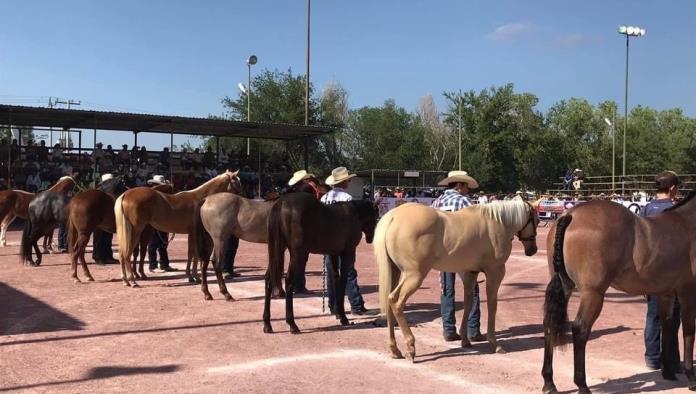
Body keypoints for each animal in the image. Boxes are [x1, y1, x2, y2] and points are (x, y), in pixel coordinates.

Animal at [262, 192, 380, 334]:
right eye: (376, 215)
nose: (371, 238)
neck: (354, 213)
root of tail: (281, 202)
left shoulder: (333, 253)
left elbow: (335, 279)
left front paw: (338, 313)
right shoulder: (348, 253)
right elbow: (343, 280)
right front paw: (343, 317)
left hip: (277, 250)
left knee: (269, 279)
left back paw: (267, 324)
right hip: (298, 253)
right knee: (289, 281)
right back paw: (292, 324)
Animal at [372, 202, 540, 362]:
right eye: (537, 221)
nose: (533, 250)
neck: (497, 222)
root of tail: (393, 216)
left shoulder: (470, 273)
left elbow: (468, 303)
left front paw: (465, 339)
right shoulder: (495, 273)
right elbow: (492, 305)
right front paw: (495, 343)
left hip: (395, 272)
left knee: (388, 301)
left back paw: (394, 349)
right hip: (414, 275)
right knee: (396, 302)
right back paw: (410, 346)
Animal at [544, 190, 696, 390]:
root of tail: (571, 214)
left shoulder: (667, 293)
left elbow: (668, 327)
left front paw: (669, 373)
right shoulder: (688, 292)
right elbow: (688, 332)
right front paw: (691, 378)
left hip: (564, 286)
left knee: (550, 324)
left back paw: (549, 383)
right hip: (593, 293)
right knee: (580, 329)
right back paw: (582, 385)